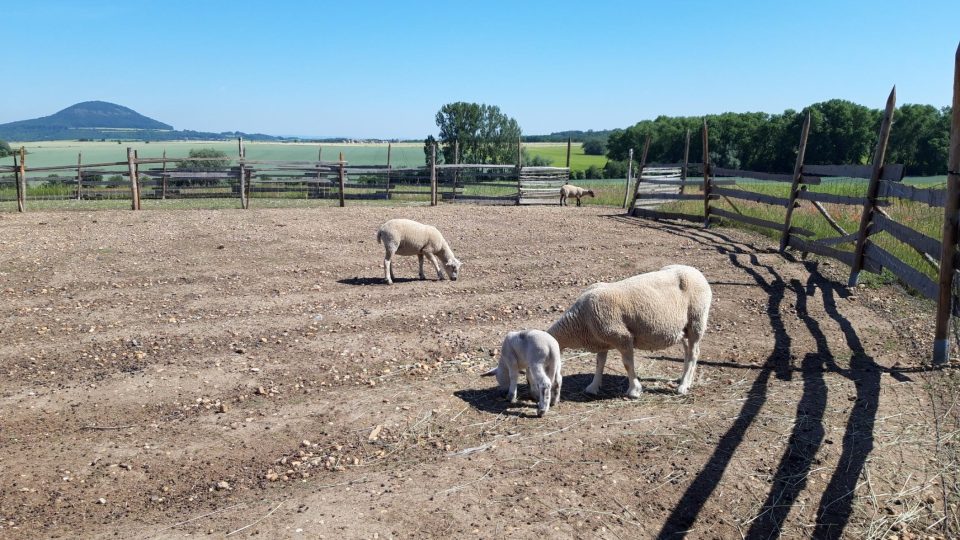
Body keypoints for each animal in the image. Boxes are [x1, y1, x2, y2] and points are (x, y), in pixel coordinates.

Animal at [548, 264, 712, 396]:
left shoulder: (622, 337)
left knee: (694, 353)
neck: (581, 320)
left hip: (697, 320)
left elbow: (627, 364)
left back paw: (683, 387)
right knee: (688, 351)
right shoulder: (602, 340)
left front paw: (634, 390)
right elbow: (599, 363)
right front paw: (593, 387)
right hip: (683, 329)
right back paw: (685, 380)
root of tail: (697, 272)